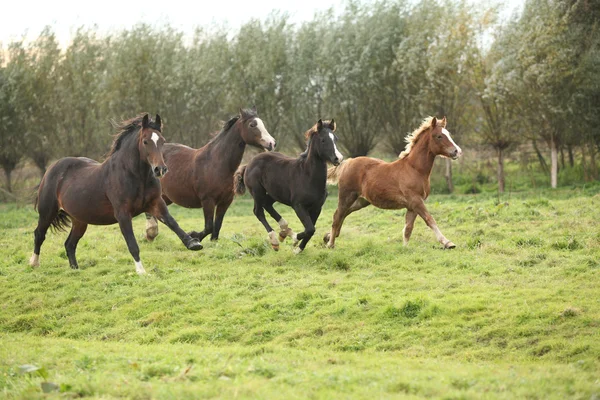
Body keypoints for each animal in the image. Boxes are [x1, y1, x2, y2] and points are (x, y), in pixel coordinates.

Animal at [29, 114, 203, 274]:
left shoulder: (155, 203)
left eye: (162, 141)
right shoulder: (122, 214)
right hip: (48, 212)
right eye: (145, 141)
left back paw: (75, 270)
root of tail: (52, 168)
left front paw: (193, 243)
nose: (160, 169)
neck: (136, 176)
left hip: (79, 220)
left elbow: (172, 222)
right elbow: (132, 243)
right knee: (39, 234)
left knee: (69, 244)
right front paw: (141, 271)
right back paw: (34, 263)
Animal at [145, 106, 276, 242]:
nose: (272, 143)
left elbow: (217, 226)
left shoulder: (225, 202)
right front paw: (193, 236)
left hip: (166, 197)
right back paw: (151, 232)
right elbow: (209, 227)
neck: (216, 164)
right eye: (252, 125)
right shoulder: (208, 201)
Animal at [233, 119, 342, 255]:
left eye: (336, 139)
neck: (307, 176)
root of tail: (248, 164)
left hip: (274, 193)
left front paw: (298, 249)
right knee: (258, 211)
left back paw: (284, 231)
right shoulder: (298, 206)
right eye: (323, 140)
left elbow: (311, 230)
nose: (338, 158)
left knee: (267, 205)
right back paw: (275, 240)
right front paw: (294, 240)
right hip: (257, 192)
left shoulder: (317, 207)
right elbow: (310, 229)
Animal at [326, 115, 462, 248]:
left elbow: (408, 229)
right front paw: (448, 243)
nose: (457, 151)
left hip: (361, 201)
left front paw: (404, 248)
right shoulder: (416, 201)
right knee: (337, 215)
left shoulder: (412, 206)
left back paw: (328, 237)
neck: (414, 169)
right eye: (439, 136)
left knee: (343, 214)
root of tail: (347, 162)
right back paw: (331, 243)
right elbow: (429, 219)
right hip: (347, 196)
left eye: (448, 134)